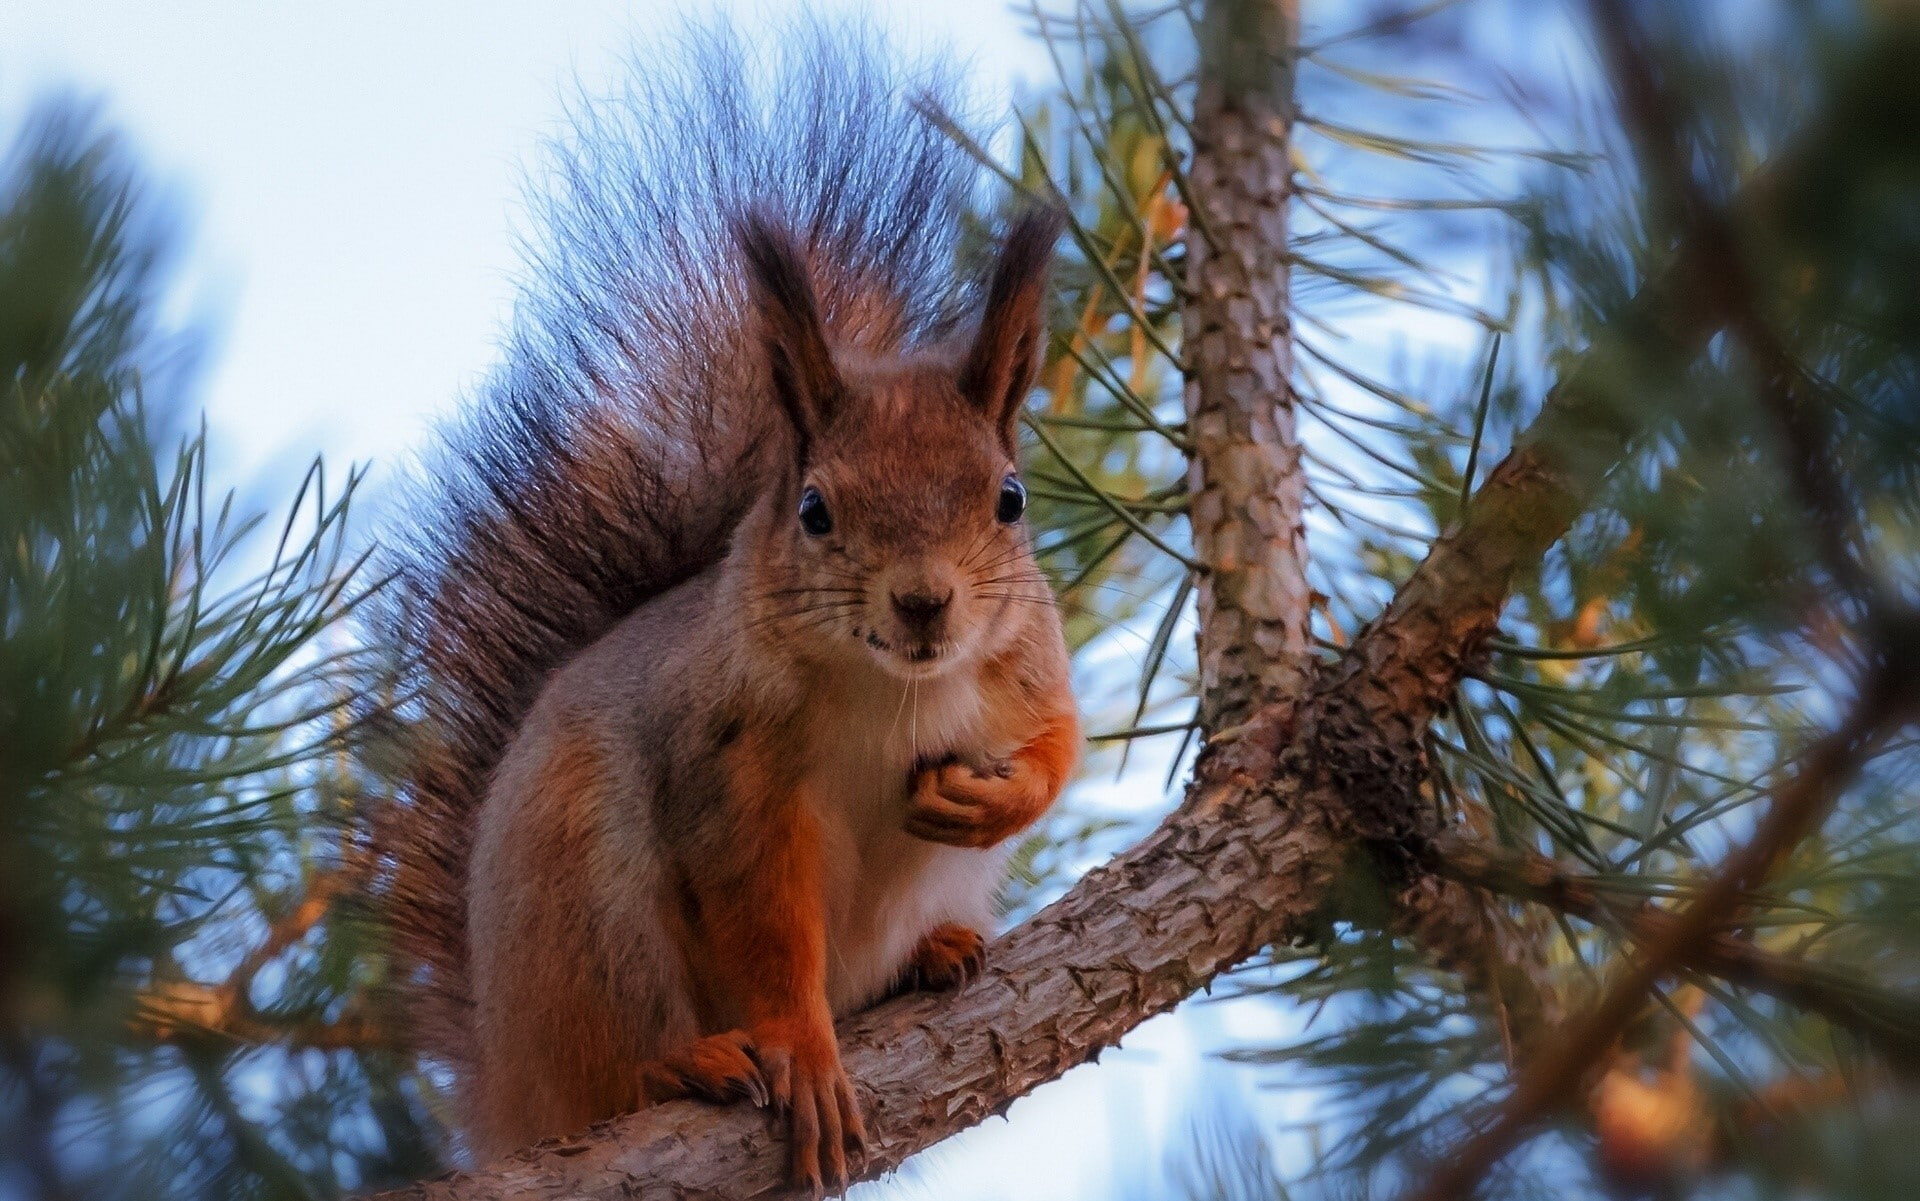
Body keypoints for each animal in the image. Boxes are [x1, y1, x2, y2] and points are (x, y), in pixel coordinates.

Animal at [369, 23, 1078, 1190]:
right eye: (816, 508)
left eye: (1010, 498)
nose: (924, 602)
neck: (896, 689)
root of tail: (504, 1086)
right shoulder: (730, 774)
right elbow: (765, 925)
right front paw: (801, 1046)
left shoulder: (1027, 666)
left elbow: (1063, 745)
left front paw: (994, 799)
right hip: (585, 903)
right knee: (610, 1073)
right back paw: (684, 1062)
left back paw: (937, 949)